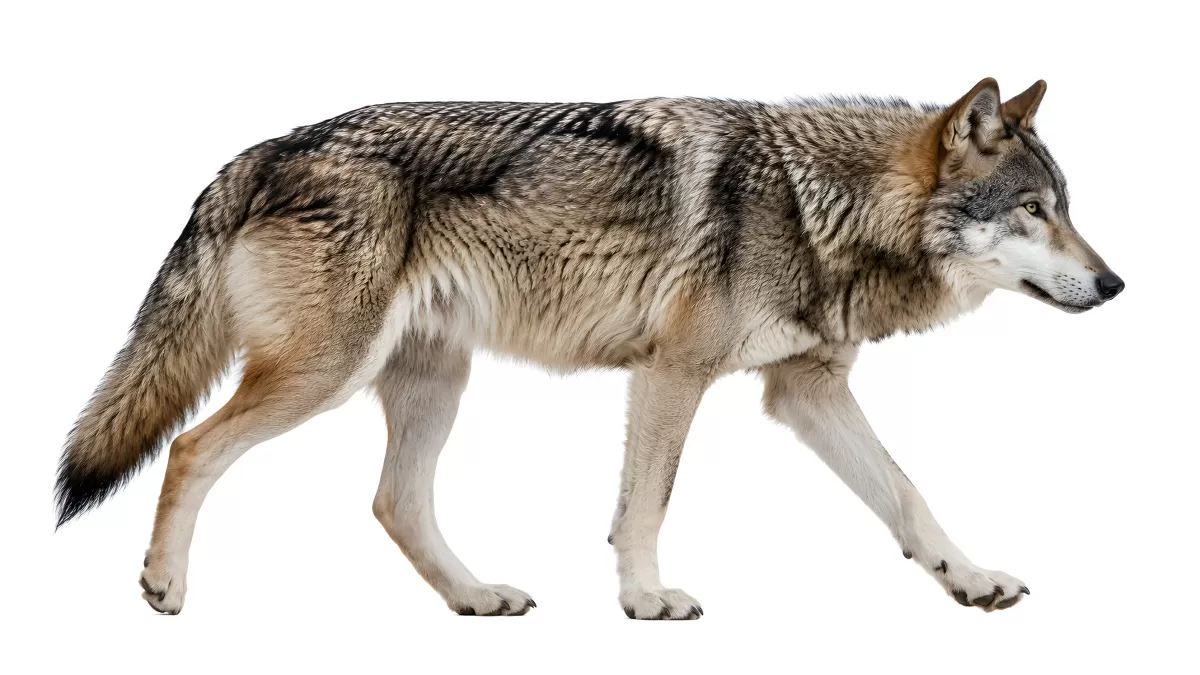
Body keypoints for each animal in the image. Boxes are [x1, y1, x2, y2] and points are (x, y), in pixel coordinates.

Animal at [55, 78, 1123, 618]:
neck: (813, 200)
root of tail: (254, 153)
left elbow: (908, 495)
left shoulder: (806, 390)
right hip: (323, 373)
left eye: (1066, 209)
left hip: (433, 382)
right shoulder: (672, 374)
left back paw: (476, 596)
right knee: (190, 445)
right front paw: (645, 599)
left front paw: (970, 579)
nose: (1116, 285)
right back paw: (163, 586)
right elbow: (645, 505)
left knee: (394, 501)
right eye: (1034, 210)